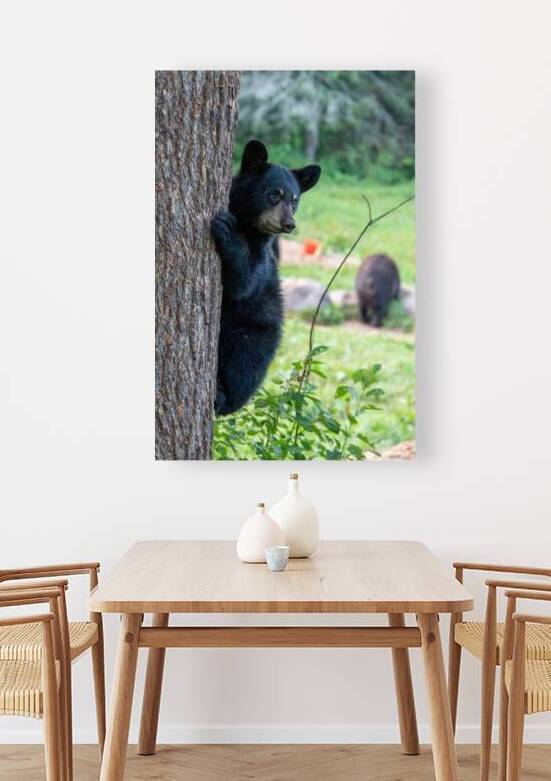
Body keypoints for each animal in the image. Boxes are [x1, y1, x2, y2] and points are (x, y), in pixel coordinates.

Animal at [211, 139, 321, 416]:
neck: (249, 227)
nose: (289, 224)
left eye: (295, 199)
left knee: (242, 363)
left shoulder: (262, 258)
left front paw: (227, 231)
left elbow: (243, 283)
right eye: (274, 194)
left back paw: (221, 395)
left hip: (253, 333)